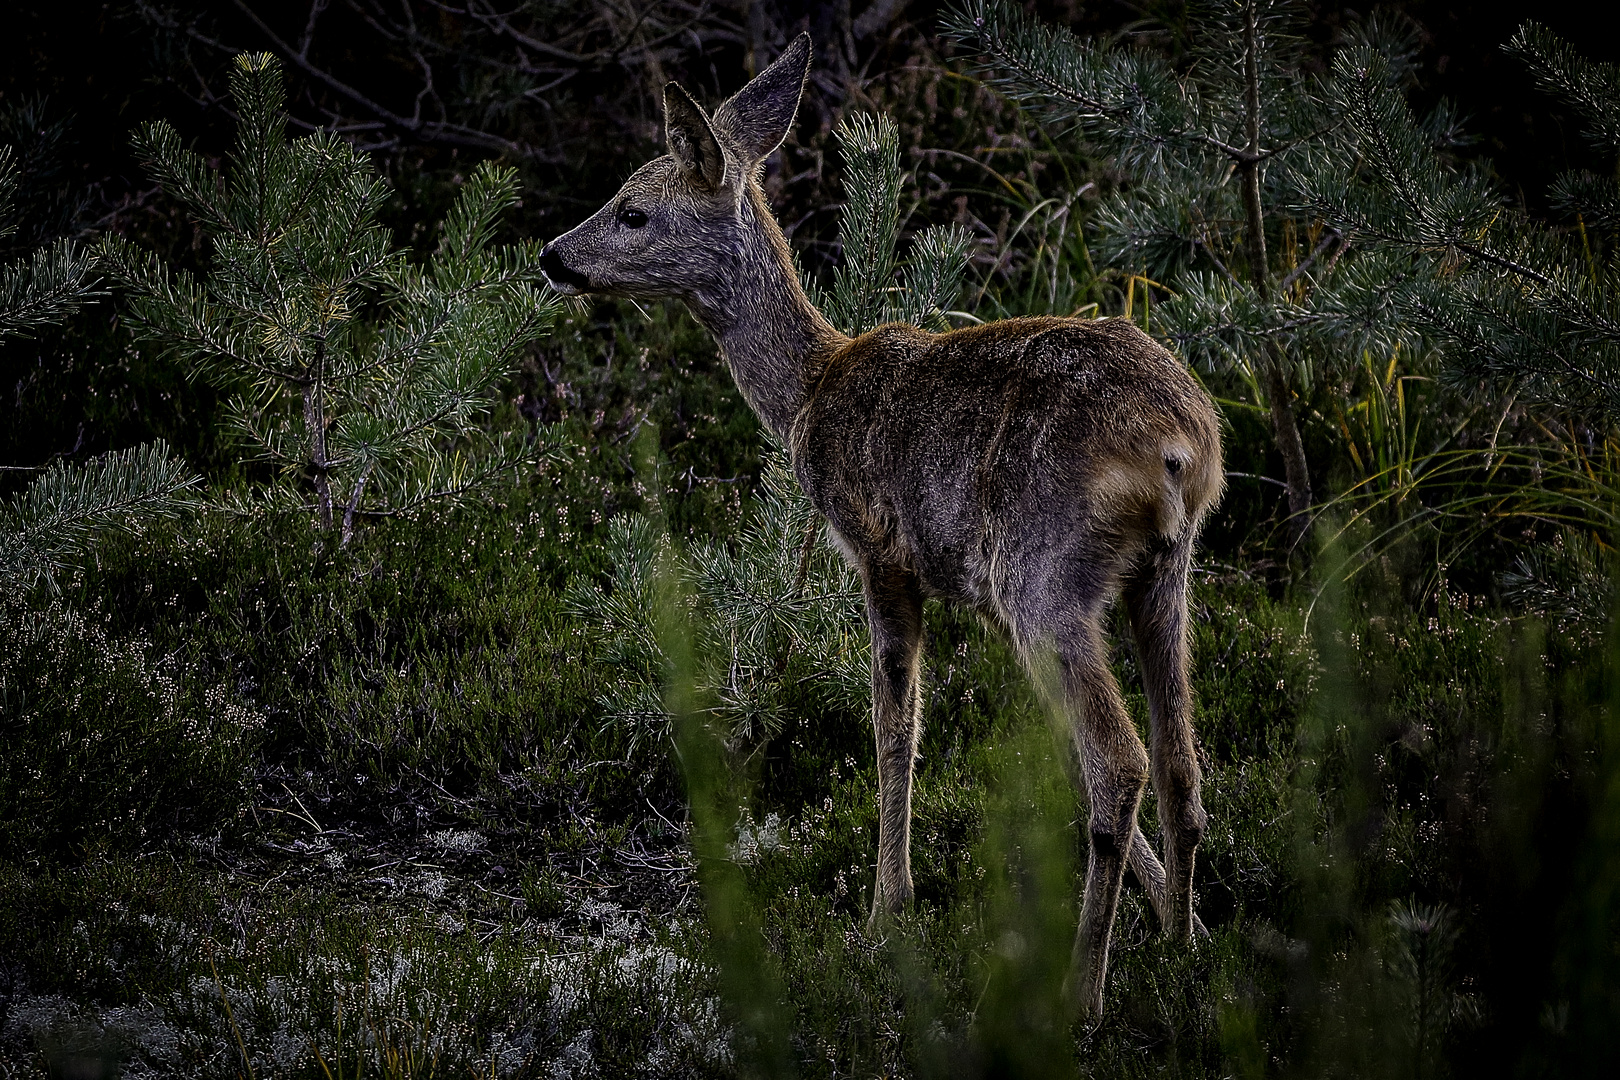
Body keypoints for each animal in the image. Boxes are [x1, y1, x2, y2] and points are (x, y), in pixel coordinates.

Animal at [537, 31, 1218, 1016]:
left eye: (632, 211)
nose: (552, 254)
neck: (807, 394)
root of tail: (1178, 446)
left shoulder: (877, 548)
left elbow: (895, 725)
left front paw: (886, 909)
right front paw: (1174, 917)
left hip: (1043, 579)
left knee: (1118, 764)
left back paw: (1081, 997)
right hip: (1165, 575)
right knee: (1178, 765)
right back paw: (1186, 949)